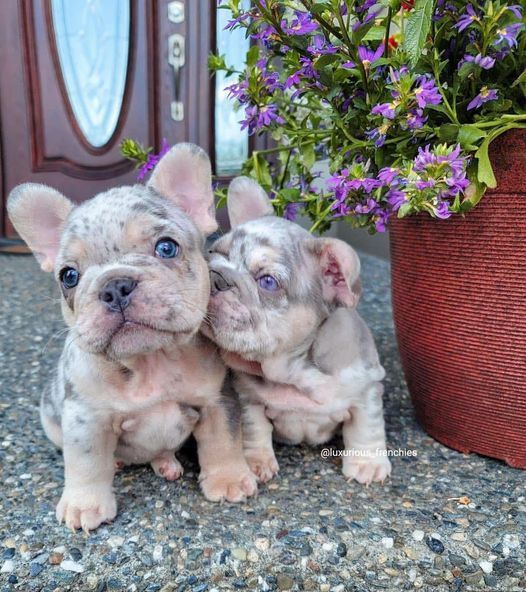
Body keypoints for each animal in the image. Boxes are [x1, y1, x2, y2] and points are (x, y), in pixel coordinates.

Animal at [6, 143, 258, 532]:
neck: (151, 361)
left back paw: (167, 463)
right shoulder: (85, 419)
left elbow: (223, 439)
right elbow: (86, 462)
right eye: (68, 276)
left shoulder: (217, 400)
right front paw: (84, 504)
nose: (115, 286)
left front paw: (228, 479)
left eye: (167, 248)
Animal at [206, 178, 392, 488]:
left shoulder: (367, 390)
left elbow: (368, 427)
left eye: (268, 281)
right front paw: (256, 462)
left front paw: (368, 464)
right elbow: (255, 430)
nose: (214, 275)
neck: (295, 372)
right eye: (214, 253)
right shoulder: (248, 397)